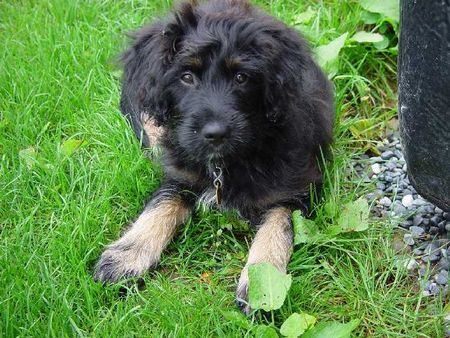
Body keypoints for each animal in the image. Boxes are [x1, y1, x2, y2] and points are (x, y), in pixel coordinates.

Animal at [95, 0, 334, 314]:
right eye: (186, 77)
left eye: (241, 77)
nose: (216, 133)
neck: (225, 163)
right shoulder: (181, 173)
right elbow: (159, 206)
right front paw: (126, 256)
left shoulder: (296, 189)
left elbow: (277, 229)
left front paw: (261, 284)